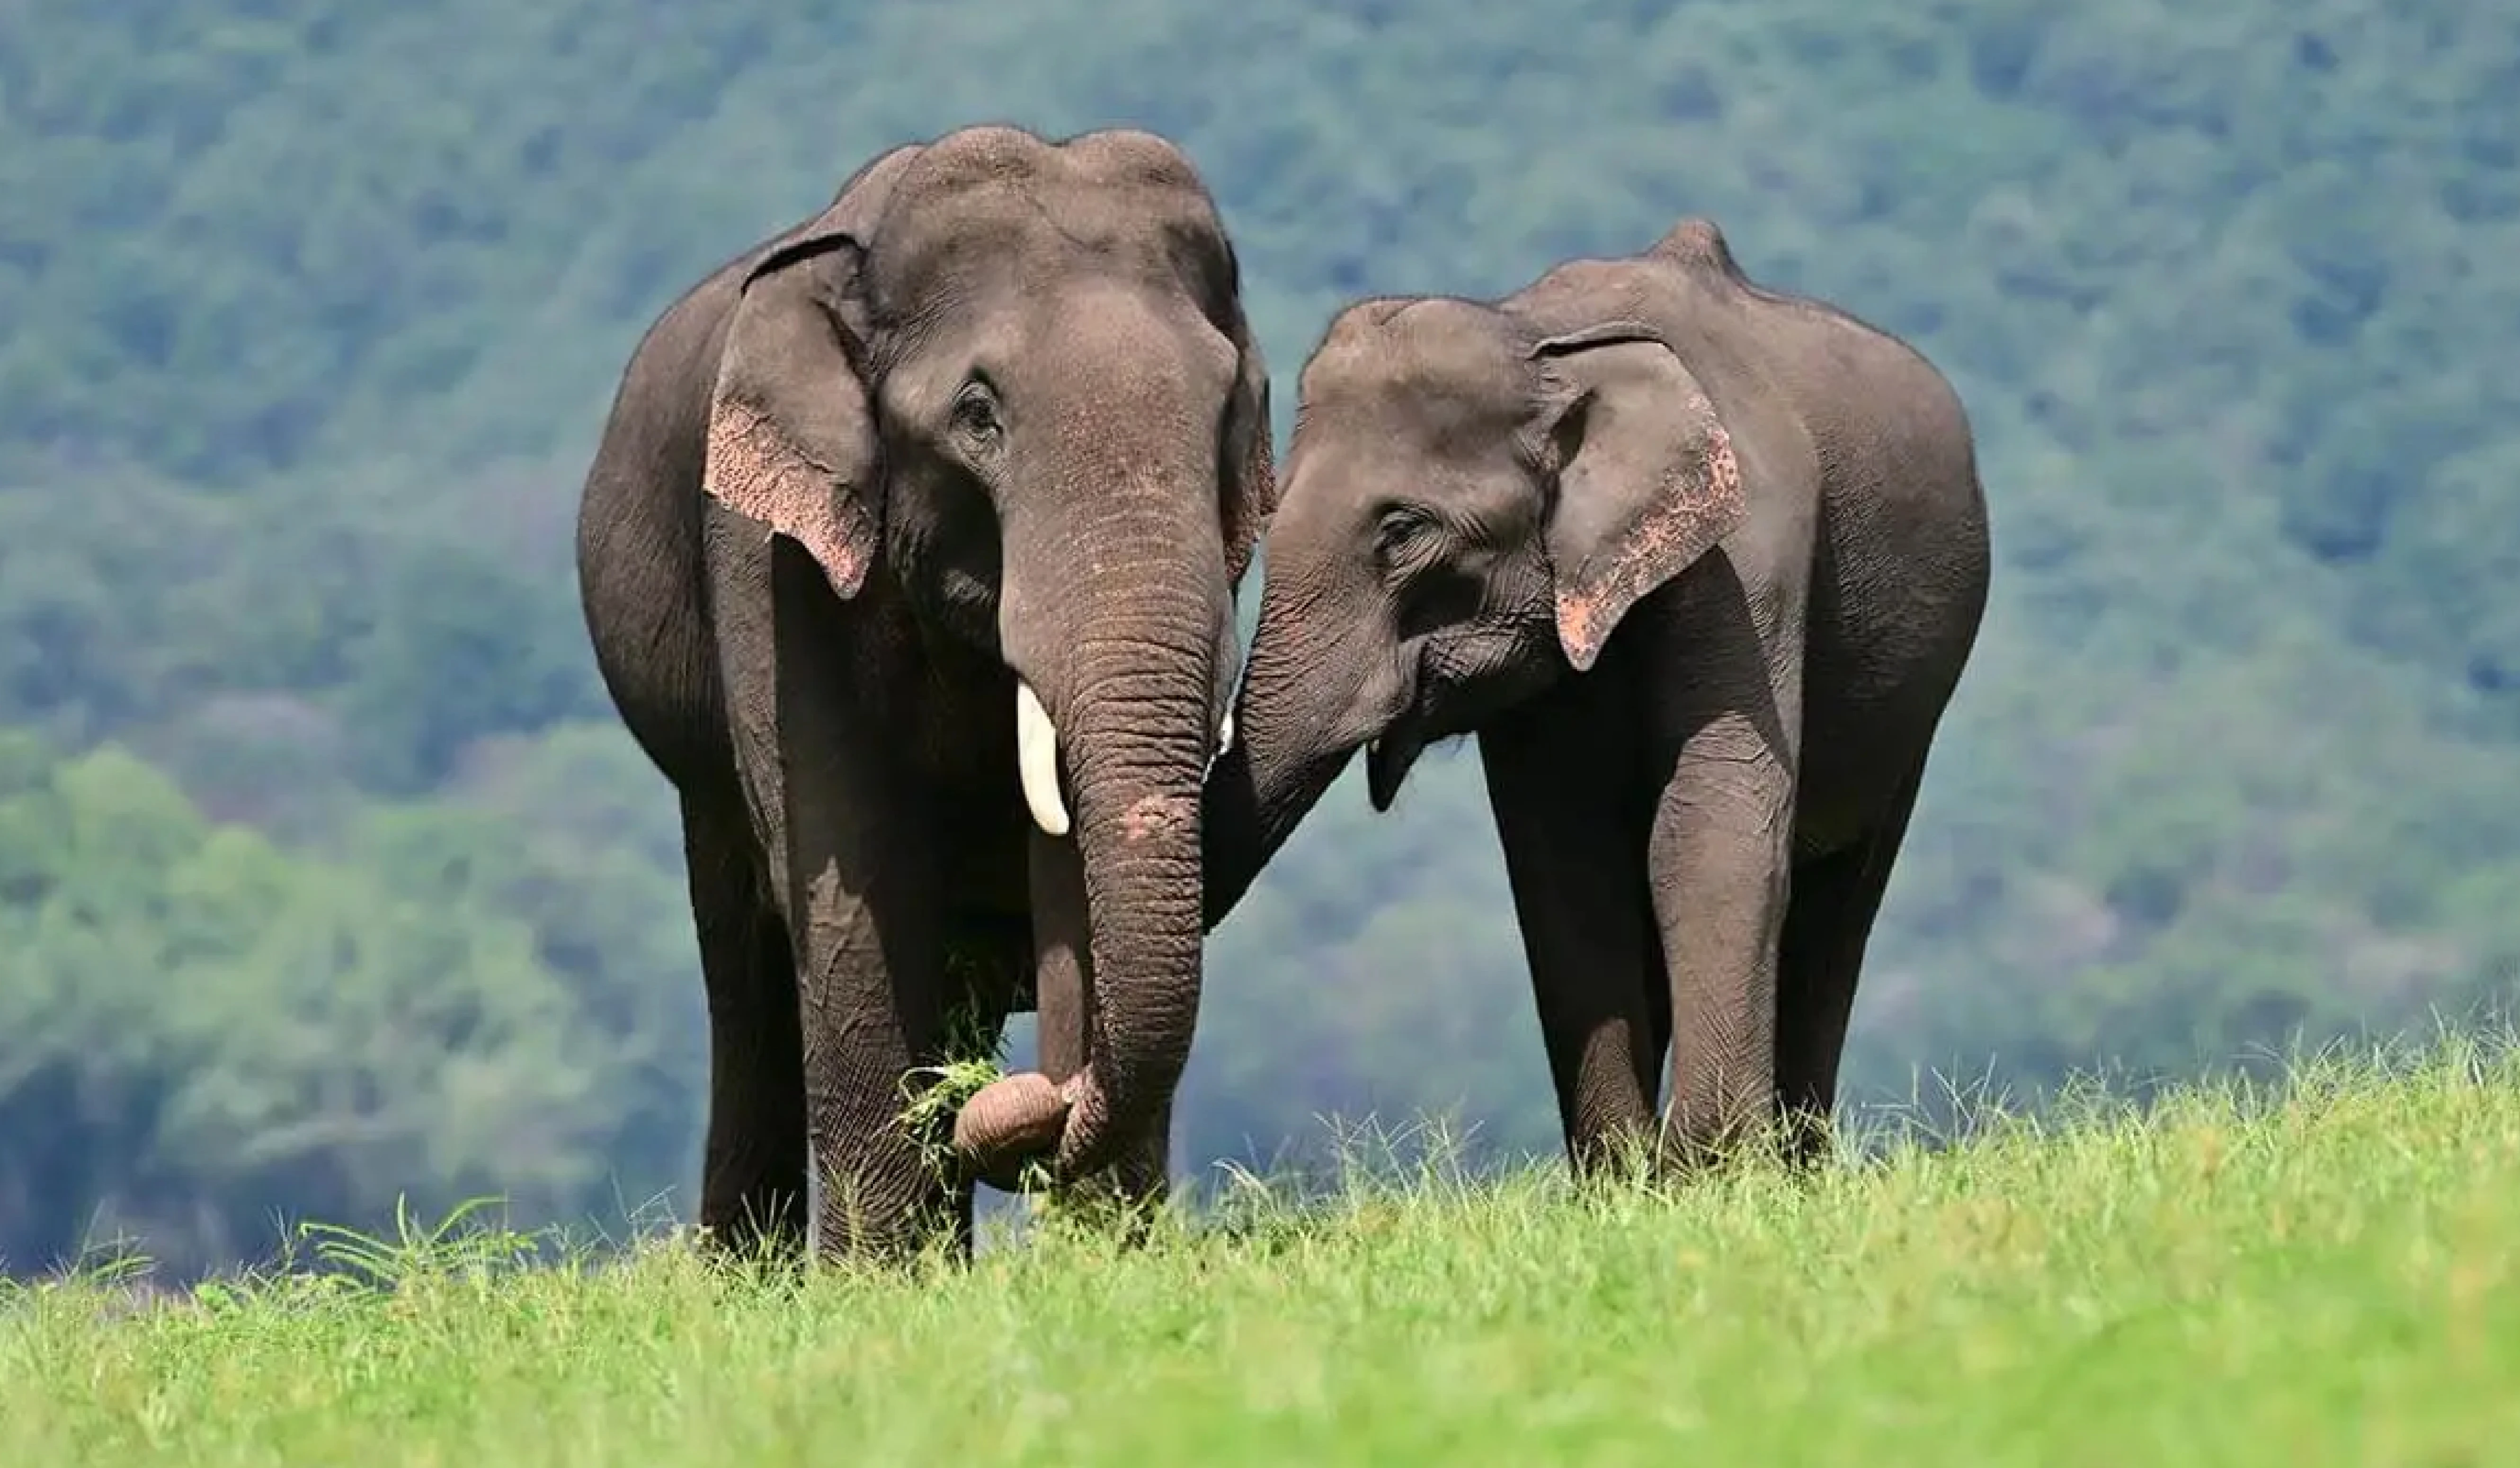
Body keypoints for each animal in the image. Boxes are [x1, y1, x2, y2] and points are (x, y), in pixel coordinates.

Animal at [575, 124, 1273, 1264]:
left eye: (1227, 408)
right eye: (977, 415)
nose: (1023, 1103)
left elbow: (1065, 868)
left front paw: (1107, 1261)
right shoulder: (770, 555)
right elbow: (852, 870)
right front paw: (880, 1283)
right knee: (744, 974)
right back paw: (750, 1271)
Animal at [1201, 218, 1990, 1177]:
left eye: (1402, 532)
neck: (1544, 345)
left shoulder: (1747, 553)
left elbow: (1703, 826)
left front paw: (1710, 1176)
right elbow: (1565, 857)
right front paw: (1623, 1182)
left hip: (1914, 707)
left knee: (1842, 903)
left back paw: (1797, 1165)